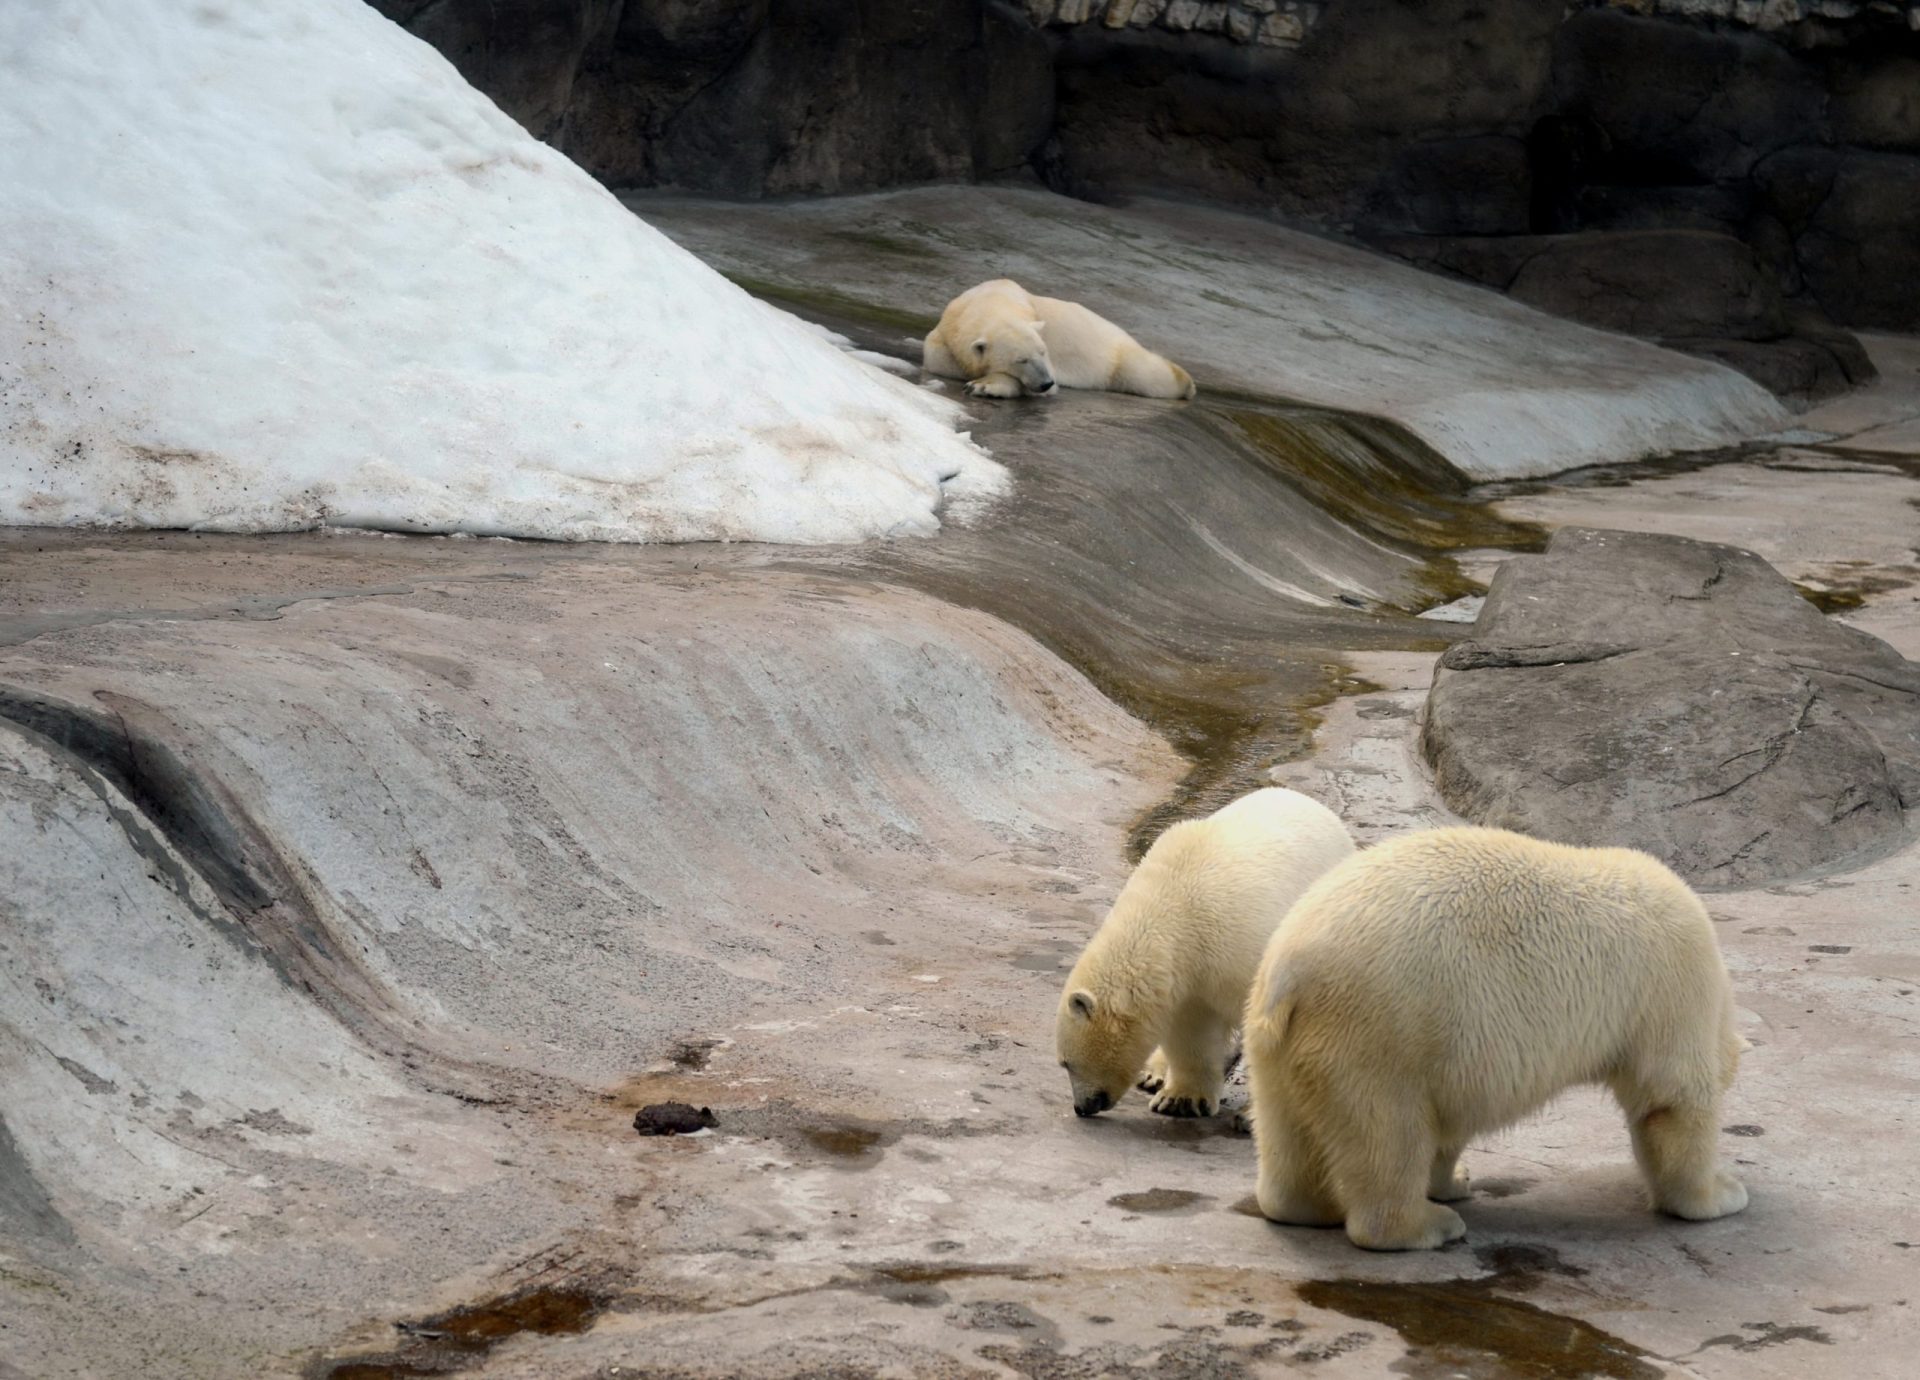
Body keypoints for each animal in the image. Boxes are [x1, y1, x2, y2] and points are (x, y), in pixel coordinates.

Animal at [921, 280, 1190, 399]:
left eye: (1043, 352)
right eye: (1021, 360)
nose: (1046, 383)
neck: (990, 299)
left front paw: (983, 386)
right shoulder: (947, 327)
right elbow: (937, 357)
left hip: (1115, 355)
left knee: (1148, 375)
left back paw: (1187, 386)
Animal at [1059, 786, 1359, 1120]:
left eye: (1067, 1063)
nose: (1081, 1107)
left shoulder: (1241, 948)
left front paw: (1252, 1114)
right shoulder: (1188, 978)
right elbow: (1192, 1031)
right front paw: (1180, 1100)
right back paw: (1153, 1073)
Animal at [1236, 825, 1751, 1259]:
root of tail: (1289, 970)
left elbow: (1450, 1124)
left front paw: (1457, 1178)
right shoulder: (1671, 980)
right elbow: (1671, 1097)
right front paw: (1724, 1191)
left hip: (1283, 1039)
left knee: (1286, 1127)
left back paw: (1304, 1206)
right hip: (1377, 1032)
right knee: (1387, 1133)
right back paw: (1428, 1226)